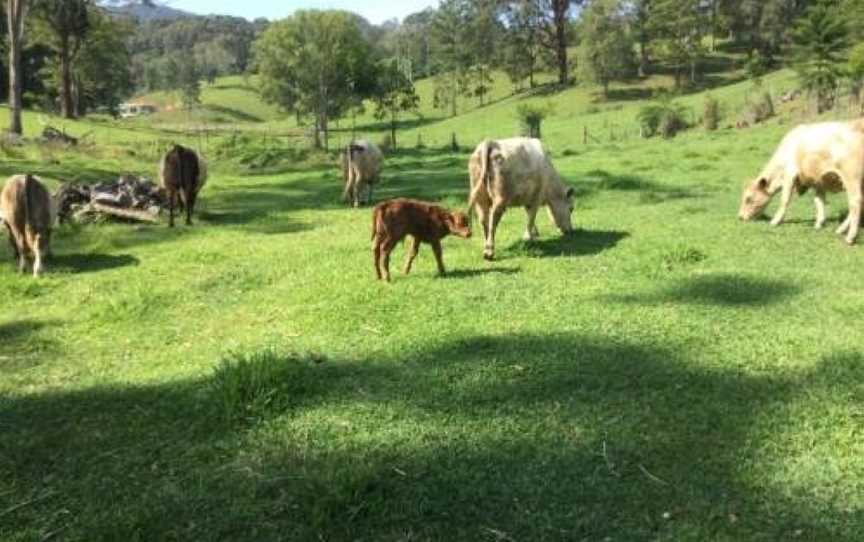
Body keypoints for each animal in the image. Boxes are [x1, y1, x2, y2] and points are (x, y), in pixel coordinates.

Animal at [736, 121, 864, 246]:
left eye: (748, 198)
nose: (740, 217)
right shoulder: (818, 180)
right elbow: (819, 201)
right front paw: (819, 223)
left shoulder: (789, 173)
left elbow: (784, 199)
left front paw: (775, 221)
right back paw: (841, 229)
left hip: (851, 177)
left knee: (855, 202)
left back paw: (850, 237)